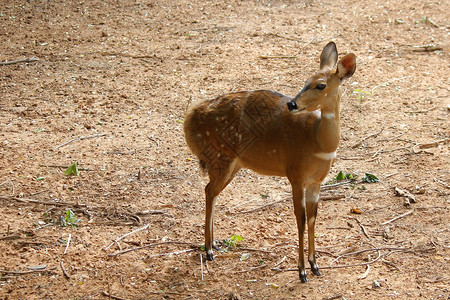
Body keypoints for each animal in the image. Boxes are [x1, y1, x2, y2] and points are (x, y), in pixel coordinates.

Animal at [183, 42, 356, 284]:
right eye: (306, 80)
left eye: (320, 85)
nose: (292, 104)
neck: (318, 141)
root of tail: (189, 117)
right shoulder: (295, 175)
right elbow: (301, 218)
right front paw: (301, 272)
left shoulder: (316, 181)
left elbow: (313, 217)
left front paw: (315, 266)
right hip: (220, 159)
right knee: (209, 191)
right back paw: (208, 250)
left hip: (232, 164)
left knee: (211, 191)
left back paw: (213, 245)